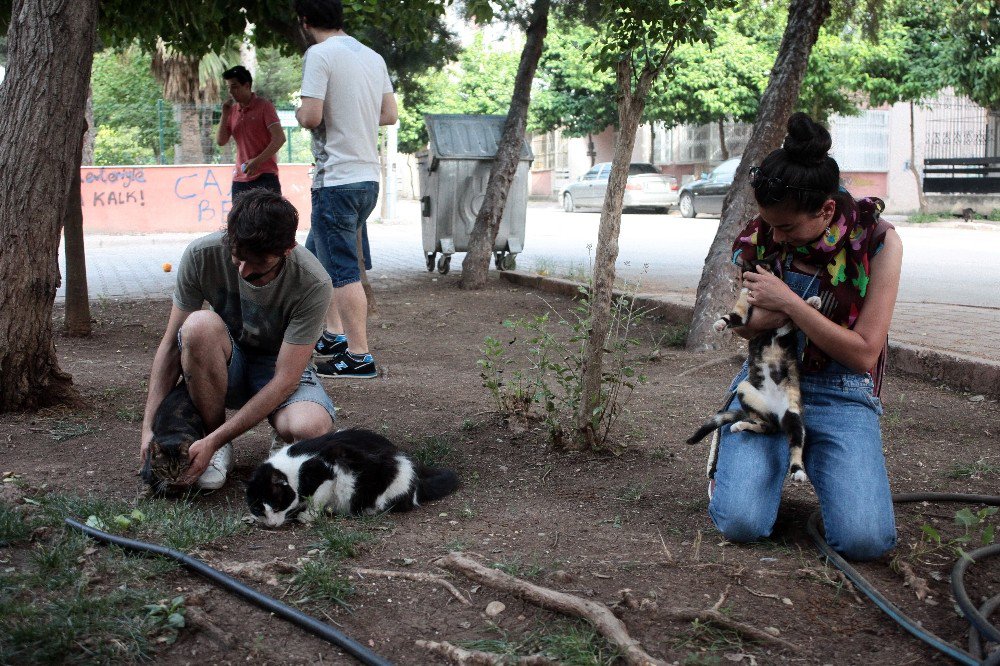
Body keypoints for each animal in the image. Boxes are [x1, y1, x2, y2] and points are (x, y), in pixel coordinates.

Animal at [248, 428, 458, 528]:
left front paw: (307, 516)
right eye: (258, 510)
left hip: (387, 477)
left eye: (276, 506)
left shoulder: (327, 473)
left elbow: (316, 500)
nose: (271, 525)